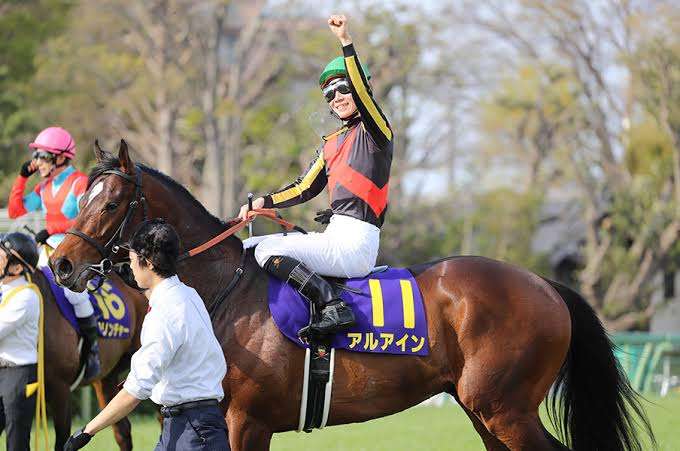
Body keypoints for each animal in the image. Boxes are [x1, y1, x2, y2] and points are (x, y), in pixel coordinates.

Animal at [49, 139, 654, 451]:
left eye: (108, 203)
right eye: (83, 198)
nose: (60, 264)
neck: (223, 293)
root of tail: (544, 284)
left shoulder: (246, 421)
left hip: (505, 409)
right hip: (485, 409)